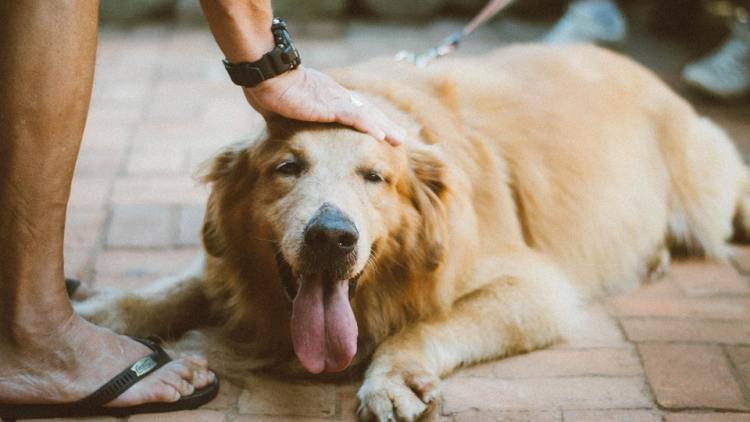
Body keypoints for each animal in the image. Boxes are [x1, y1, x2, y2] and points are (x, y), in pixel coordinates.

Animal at [75, 44, 750, 420]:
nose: (331, 237)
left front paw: (394, 376)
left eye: (376, 177)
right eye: (287, 168)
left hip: (709, 189)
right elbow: (171, 288)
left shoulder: (536, 288)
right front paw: (99, 315)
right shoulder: (231, 268)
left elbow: (427, 323)